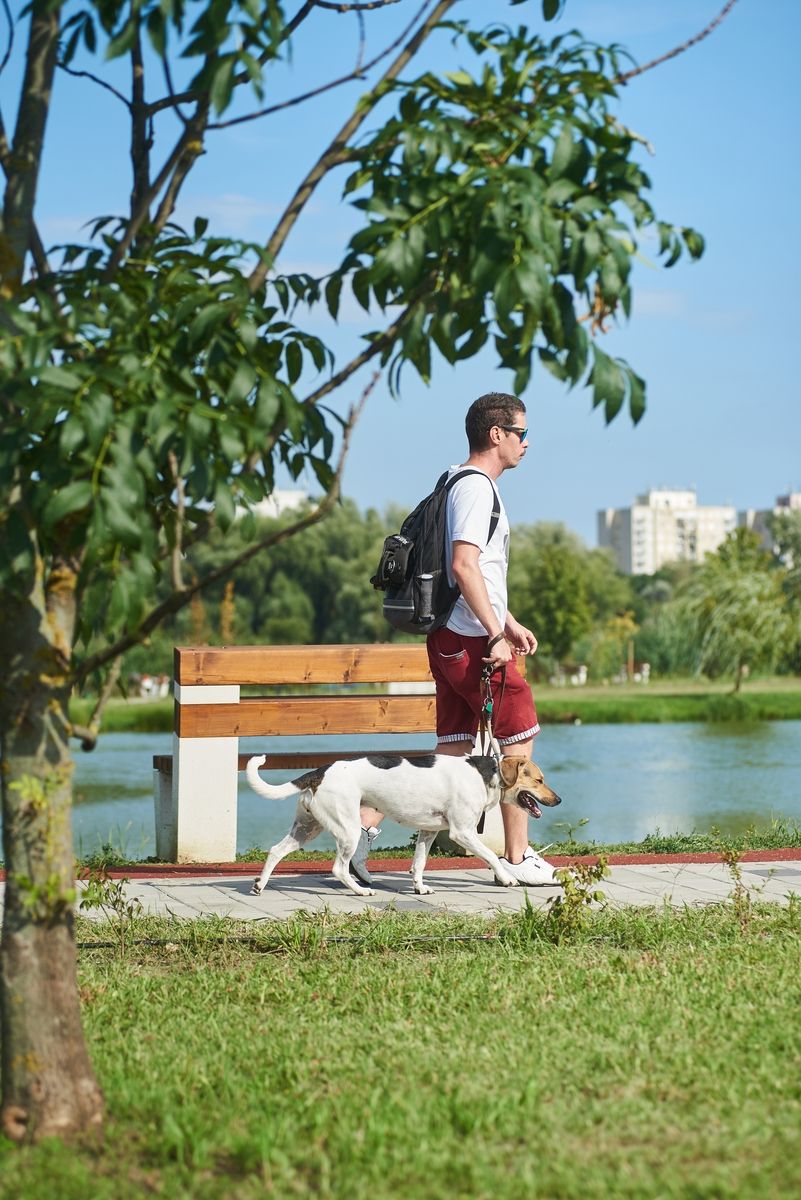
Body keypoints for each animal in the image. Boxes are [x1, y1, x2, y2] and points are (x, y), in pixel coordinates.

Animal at [247, 753, 561, 897]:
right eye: (539, 780)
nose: (558, 800)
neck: (488, 775)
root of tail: (320, 771)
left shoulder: (429, 831)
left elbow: (419, 864)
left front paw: (420, 888)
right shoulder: (462, 832)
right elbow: (490, 857)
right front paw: (507, 878)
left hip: (307, 828)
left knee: (275, 850)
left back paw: (260, 884)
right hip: (347, 829)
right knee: (339, 868)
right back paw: (361, 890)